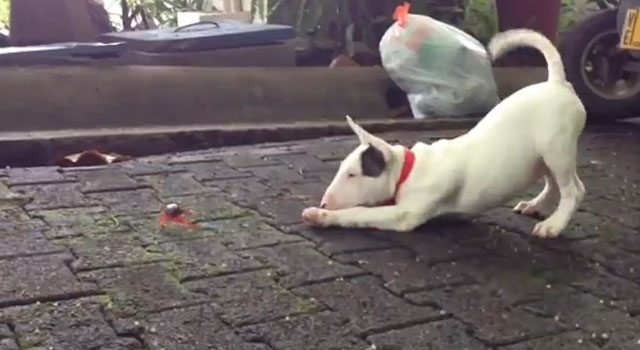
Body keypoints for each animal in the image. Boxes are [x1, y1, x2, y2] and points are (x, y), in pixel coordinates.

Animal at [302, 29, 588, 238]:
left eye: (353, 174)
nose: (325, 203)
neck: (408, 170)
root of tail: (557, 83)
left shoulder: (406, 214)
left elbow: (362, 213)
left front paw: (321, 215)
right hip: (542, 151)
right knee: (553, 182)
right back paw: (536, 206)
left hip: (556, 147)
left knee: (574, 189)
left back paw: (553, 225)